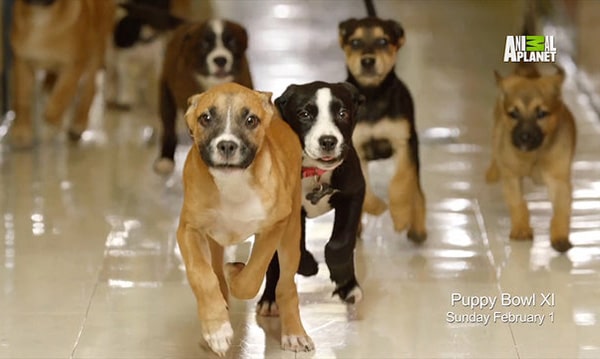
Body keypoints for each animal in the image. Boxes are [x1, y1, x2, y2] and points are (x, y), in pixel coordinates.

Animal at [9, 0, 116, 148]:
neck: (42, 18)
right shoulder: (22, 63)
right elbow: (21, 101)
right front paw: (21, 130)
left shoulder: (74, 66)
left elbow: (58, 100)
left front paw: (55, 122)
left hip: (96, 50)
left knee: (90, 89)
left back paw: (79, 123)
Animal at [177, 83, 314, 358]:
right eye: (205, 118)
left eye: (251, 120)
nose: (227, 145)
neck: (233, 184)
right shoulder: (188, 229)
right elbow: (202, 275)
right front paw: (216, 329)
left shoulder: (274, 227)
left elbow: (251, 278)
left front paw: (236, 272)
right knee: (215, 269)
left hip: (291, 235)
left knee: (286, 285)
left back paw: (294, 332)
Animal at [338, 16, 426, 242]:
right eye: (355, 42)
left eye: (383, 41)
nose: (368, 61)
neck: (373, 95)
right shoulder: (357, 149)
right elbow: (365, 189)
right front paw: (377, 207)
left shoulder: (404, 142)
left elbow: (401, 182)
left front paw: (401, 216)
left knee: (417, 190)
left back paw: (417, 228)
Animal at [482, 63, 576, 253]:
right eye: (513, 114)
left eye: (542, 114)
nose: (524, 137)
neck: (533, 156)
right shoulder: (512, 177)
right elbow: (517, 203)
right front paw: (521, 229)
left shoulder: (558, 179)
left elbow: (561, 210)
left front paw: (560, 237)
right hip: (497, 132)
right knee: (495, 150)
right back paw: (492, 172)